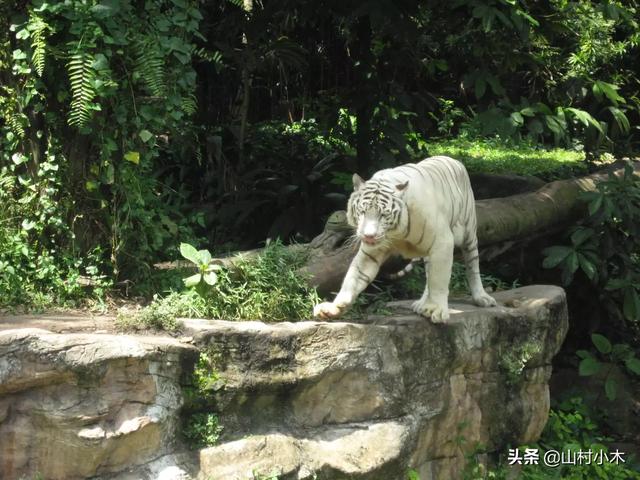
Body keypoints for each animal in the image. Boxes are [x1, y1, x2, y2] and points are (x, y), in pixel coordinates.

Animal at [312, 156, 498, 324]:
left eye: (383, 214)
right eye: (363, 211)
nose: (368, 236)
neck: (396, 233)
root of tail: (453, 160)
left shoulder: (442, 242)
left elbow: (439, 280)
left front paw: (437, 310)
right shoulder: (371, 252)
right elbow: (353, 278)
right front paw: (333, 308)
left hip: (469, 232)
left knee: (472, 265)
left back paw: (481, 297)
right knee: (429, 274)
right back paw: (422, 303)